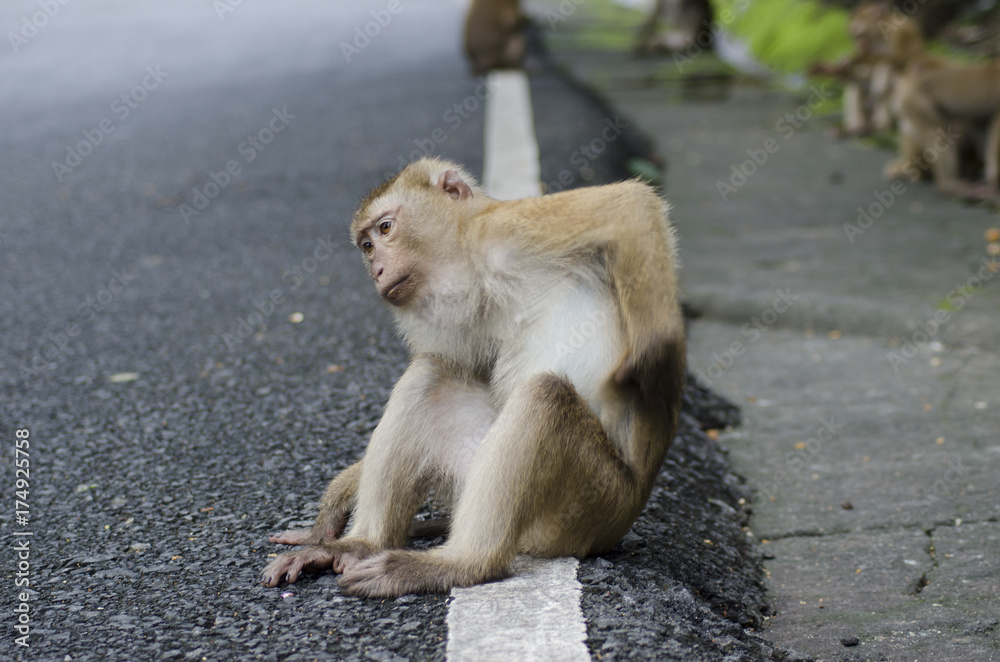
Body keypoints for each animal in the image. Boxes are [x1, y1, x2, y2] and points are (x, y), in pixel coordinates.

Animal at [262, 158, 688, 600]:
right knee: (431, 372)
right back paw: (357, 544)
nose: (377, 271)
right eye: (366, 247)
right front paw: (336, 502)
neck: (474, 263)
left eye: (385, 229)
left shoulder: (503, 229)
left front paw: (657, 347)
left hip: (588, 506)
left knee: (544, 396)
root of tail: (618, 524)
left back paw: (461, 563)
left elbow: (629, 204)